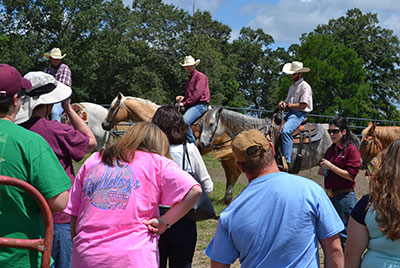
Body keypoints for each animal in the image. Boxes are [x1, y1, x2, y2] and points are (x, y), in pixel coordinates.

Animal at [101, 92, 242, 203]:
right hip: (225, 156)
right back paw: (225, 198)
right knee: (230, 174)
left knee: (235, 173)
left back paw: (227, 198)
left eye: (112, 108)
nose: (103, 124)